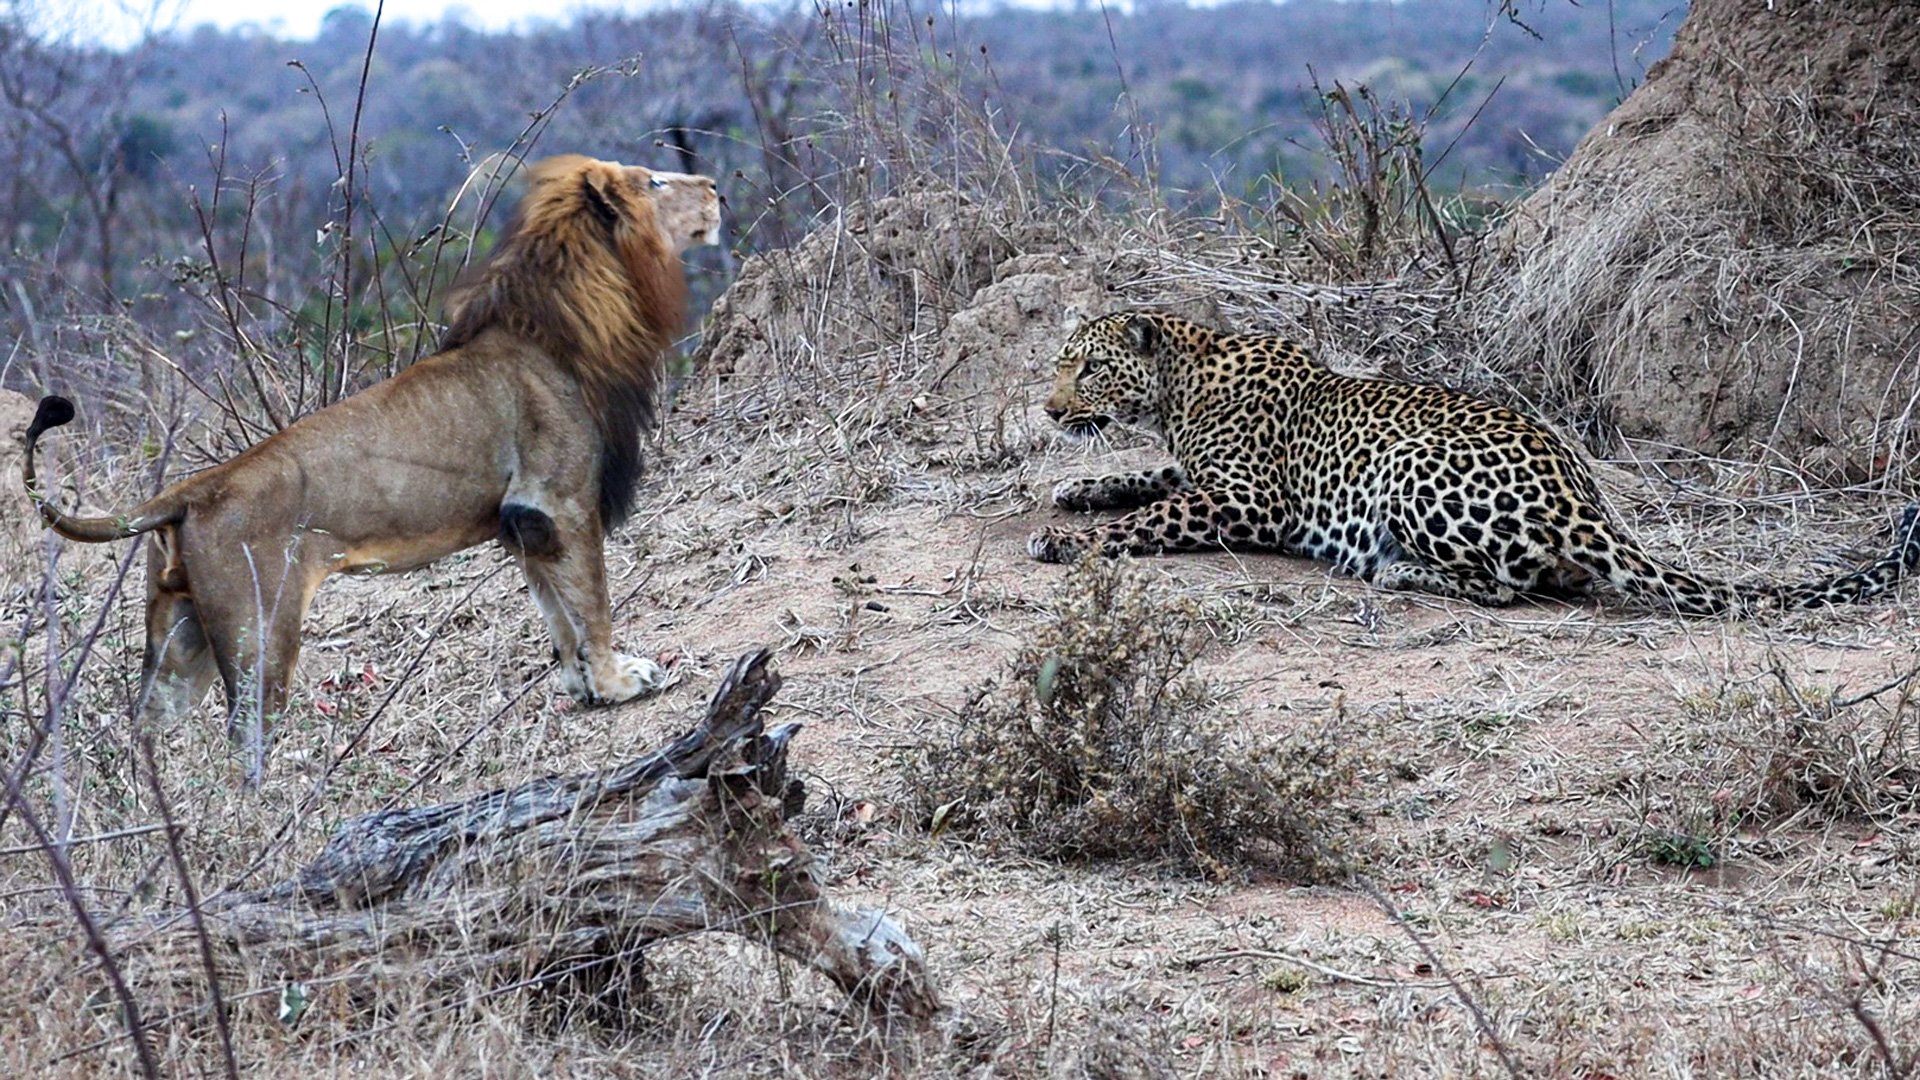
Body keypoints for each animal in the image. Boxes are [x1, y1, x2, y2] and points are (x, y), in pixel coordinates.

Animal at [23, 154, 720, 732]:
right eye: (655, 182)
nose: (715, 186)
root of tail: (193, 490)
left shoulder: (525, 522)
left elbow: (557, 615)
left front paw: (584, 688)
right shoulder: (560, 501)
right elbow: (591, 604)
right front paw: (620, 681)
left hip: (179, 633)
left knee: (148, 731)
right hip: (261, 633)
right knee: (244, 740)